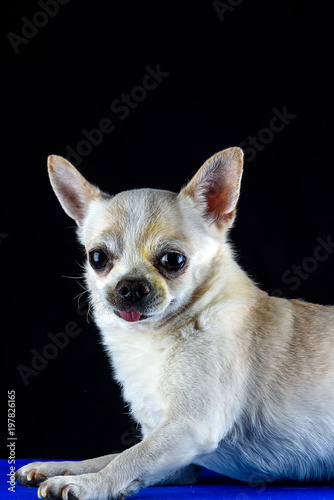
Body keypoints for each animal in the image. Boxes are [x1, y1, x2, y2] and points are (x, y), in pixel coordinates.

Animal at [16, 148, 334, 500]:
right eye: (97, 258)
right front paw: (60, 466)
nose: (130, 286)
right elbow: (110, 456)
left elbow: (128, 457)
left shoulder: (190, 427)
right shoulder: (178, 464)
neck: (153, 338)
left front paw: (88, 484)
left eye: (173, 260)